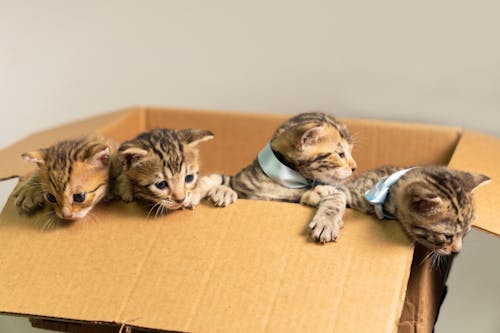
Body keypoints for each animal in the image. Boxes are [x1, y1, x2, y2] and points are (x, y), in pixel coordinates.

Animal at [300, 165, 488, 253]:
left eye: (466, 232)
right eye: (447, 236)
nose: (457, 251)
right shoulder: (350, 189)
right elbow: (336, 196)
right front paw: (327, 222)